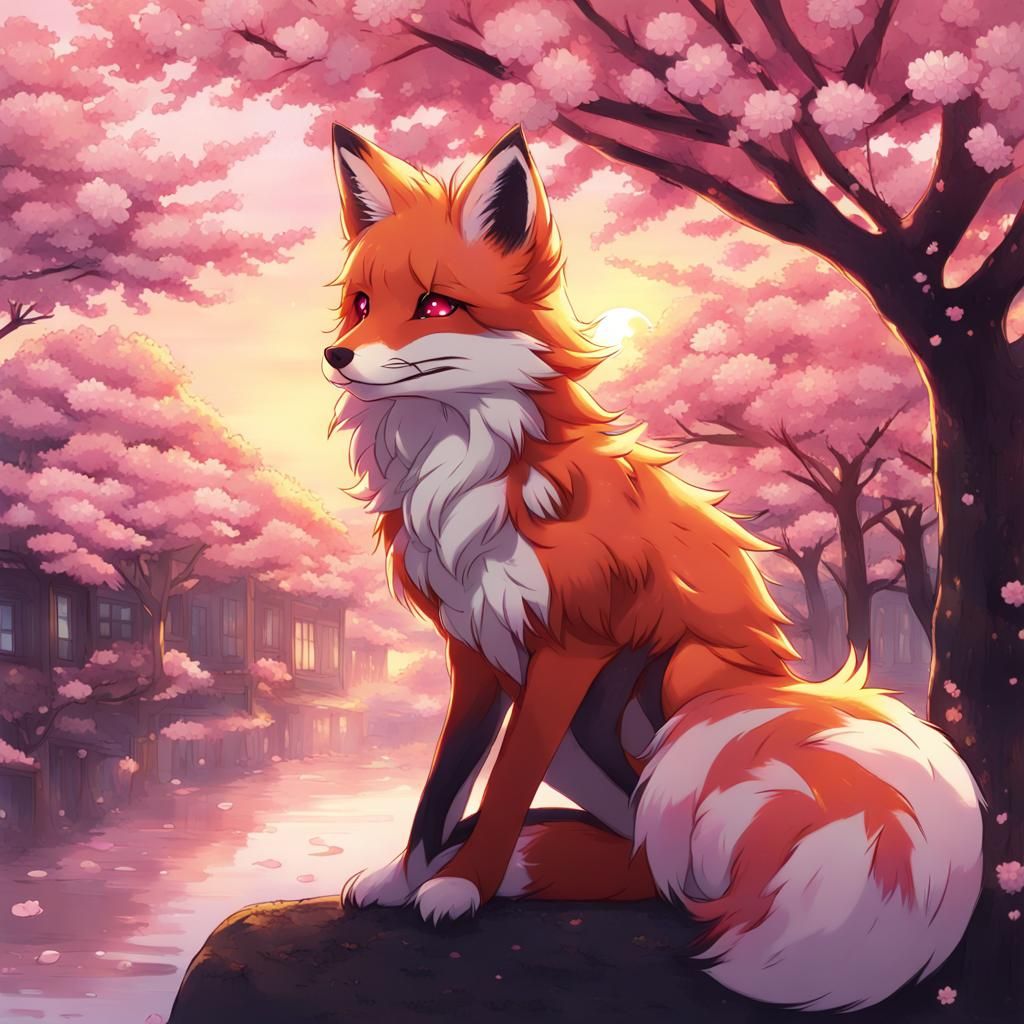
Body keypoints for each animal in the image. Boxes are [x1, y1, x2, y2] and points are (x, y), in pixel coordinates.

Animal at [323, 122, 984, 1012]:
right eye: (362, 305)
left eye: (433, 306)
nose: (335, 355)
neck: (468, 473)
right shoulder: (477, 651)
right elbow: (445, 782)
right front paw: (408, 876)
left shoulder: (571, 644)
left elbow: (504, 786)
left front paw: (464, 885)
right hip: (591, 737)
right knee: (640, 856)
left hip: (683, 695)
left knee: (657, 863)